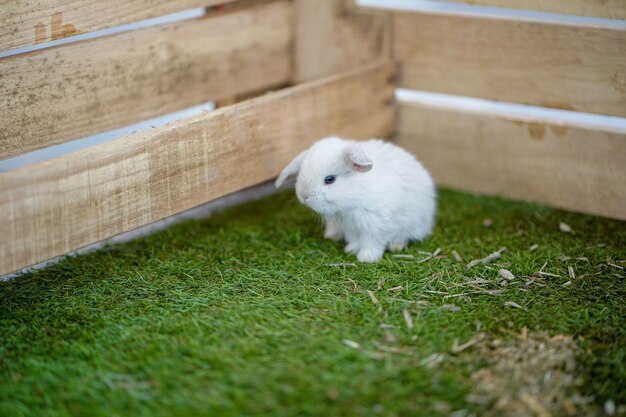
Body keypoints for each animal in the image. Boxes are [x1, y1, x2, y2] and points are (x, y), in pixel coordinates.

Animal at [272, 136, 434, 262]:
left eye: (330, 179)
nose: (304, 196)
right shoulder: (350, 227)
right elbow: (355, 240)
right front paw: (351, 250)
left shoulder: (376, 225)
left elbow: (372, 242)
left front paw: (366, 258)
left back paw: (396, 245)